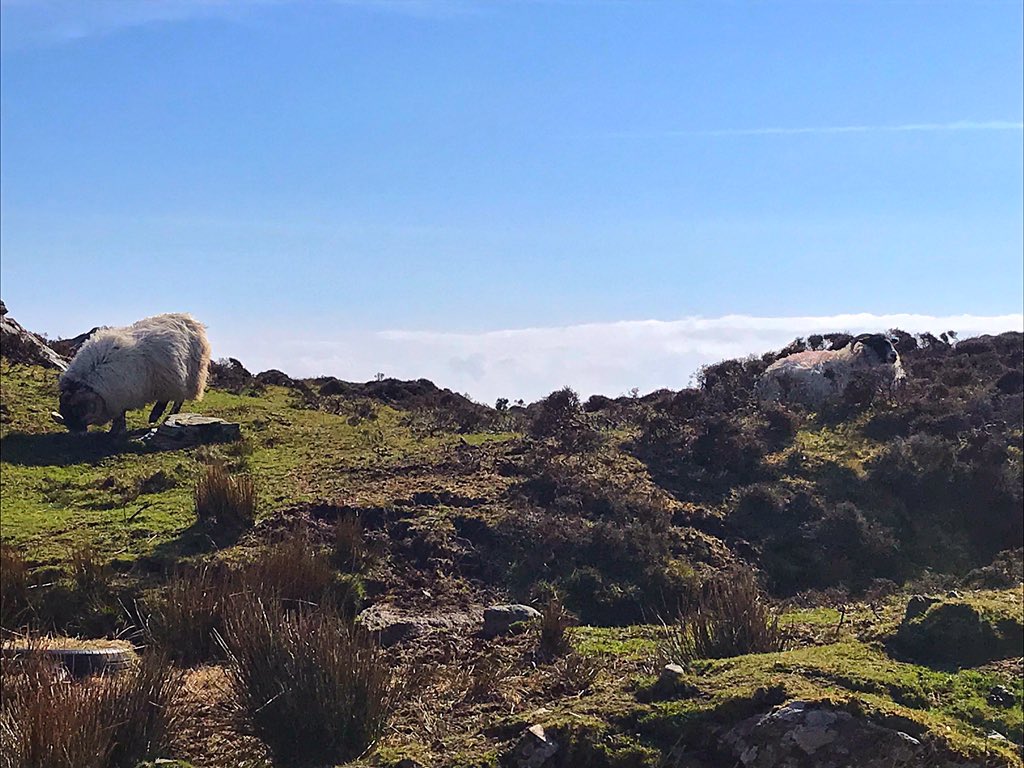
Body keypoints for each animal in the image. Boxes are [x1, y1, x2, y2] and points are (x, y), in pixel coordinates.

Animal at [51, 313, 211, 434]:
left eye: (76, 409)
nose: (77, 433)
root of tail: (191, 320)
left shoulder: (120, 396)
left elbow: (120, 414)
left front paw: (117, 431)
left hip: (188, 376)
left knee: (177, 399)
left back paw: (159, 415)